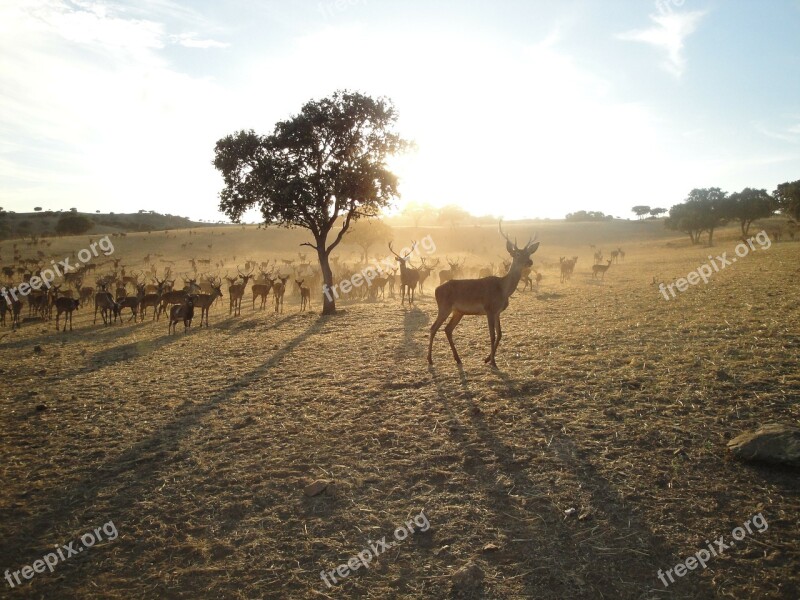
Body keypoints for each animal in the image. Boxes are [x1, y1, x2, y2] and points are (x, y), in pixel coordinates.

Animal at [428, 223, 540, 368]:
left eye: (528, 253)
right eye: (517, 253)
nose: (529, 262)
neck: (503, 289)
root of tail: (436, 290)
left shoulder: (497, 312)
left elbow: (500, 334)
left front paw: (487, 359)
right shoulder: (489, 309)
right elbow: (492, 335)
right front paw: (493, 362)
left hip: (458, 311)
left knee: (447, 329)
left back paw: (458, 359)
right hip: (444, 307)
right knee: (433, 328)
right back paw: (430, 360)